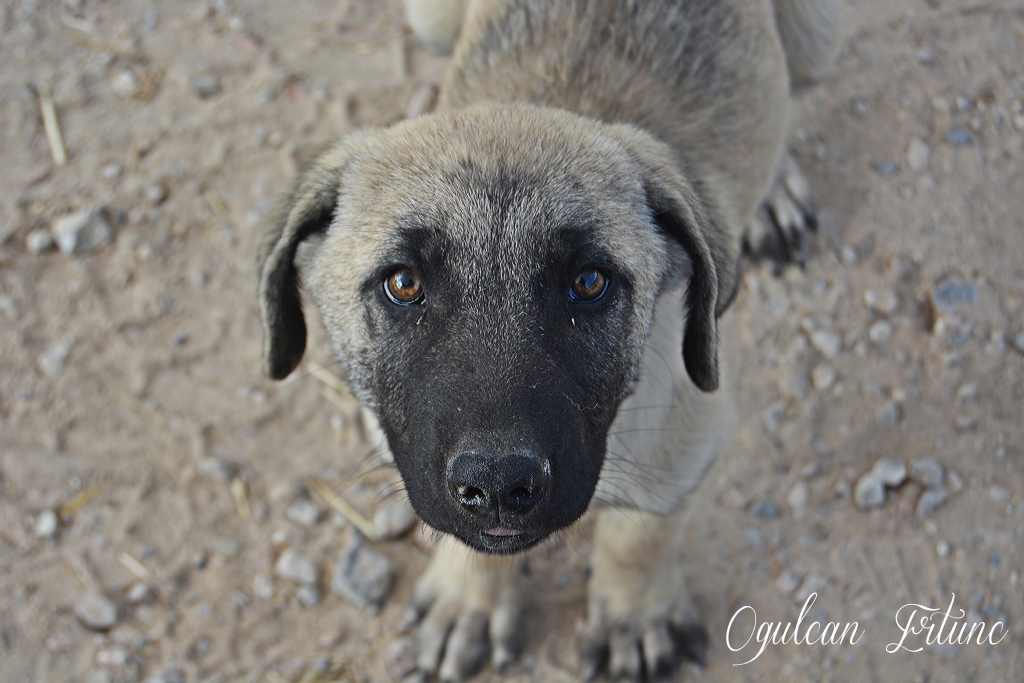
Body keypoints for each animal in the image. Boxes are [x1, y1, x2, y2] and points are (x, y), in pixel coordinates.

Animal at [260, 2, 843, 679]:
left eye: (589, 282)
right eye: (403, 283)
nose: (498, 486)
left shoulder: (690, 427)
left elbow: (641, 532)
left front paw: (632, 617)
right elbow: (469, 538)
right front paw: (470, 601)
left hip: (816, 40)